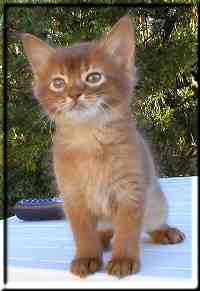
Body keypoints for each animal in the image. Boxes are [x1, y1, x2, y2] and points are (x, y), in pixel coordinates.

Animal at [21, 15, 184, 278]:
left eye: (93, 77)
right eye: (58, 83)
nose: (74, 94)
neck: (89, 140)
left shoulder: (130, 192)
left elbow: (127, 230)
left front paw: (123, 259)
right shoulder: (73, 198)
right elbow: (83, 234)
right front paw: (87, 257)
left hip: (156, 203)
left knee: (150, 223)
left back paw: (164, 231)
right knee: (105, 230)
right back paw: (103, 239)